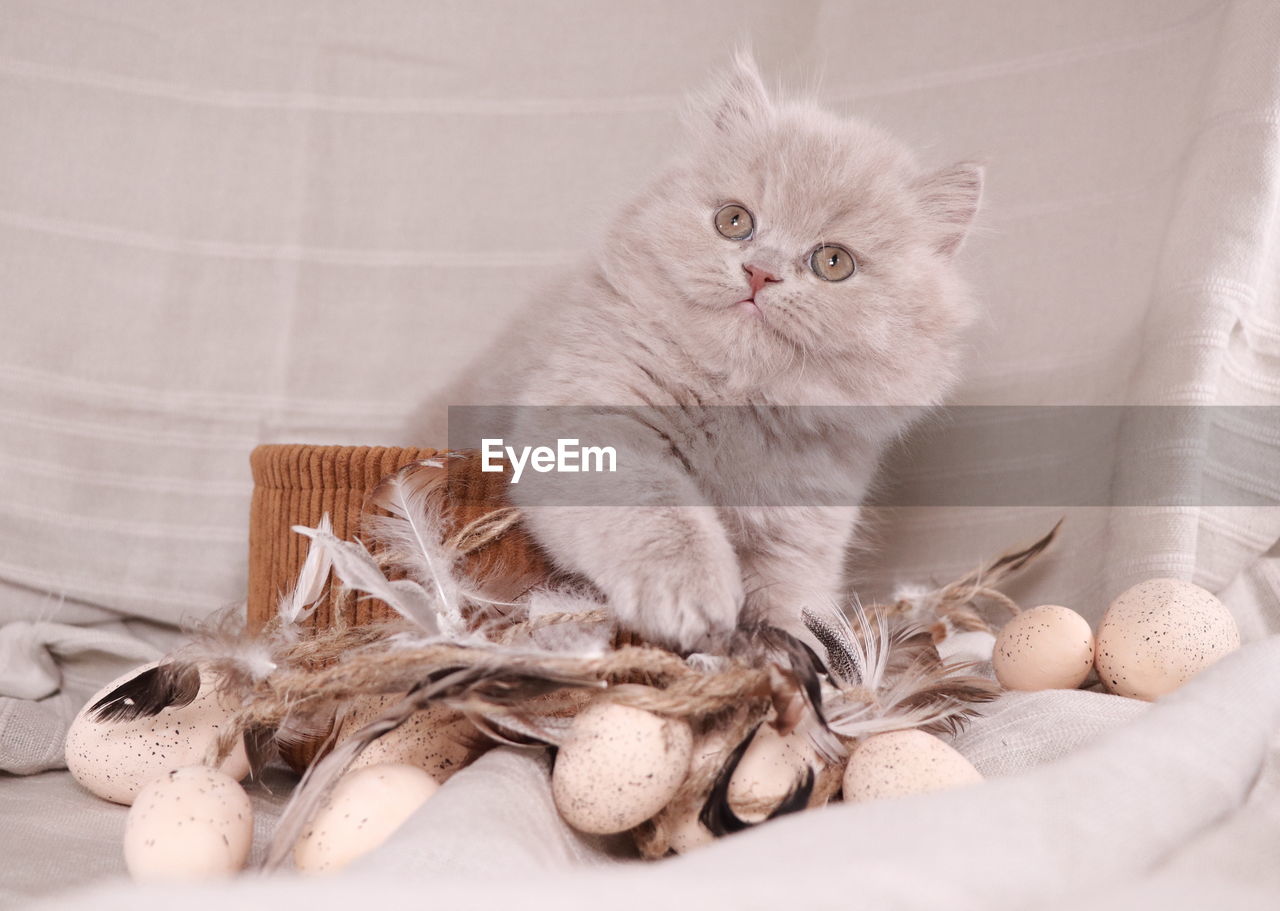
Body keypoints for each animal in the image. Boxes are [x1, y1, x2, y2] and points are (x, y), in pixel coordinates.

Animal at [419, 56, 977, 649]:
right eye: (735, 221)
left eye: (833, 262)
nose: (760, 271)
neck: (738, 401)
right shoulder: (593, 423)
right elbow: (660, 509)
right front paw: (688, 593)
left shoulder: (805, 529)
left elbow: (799, 603)